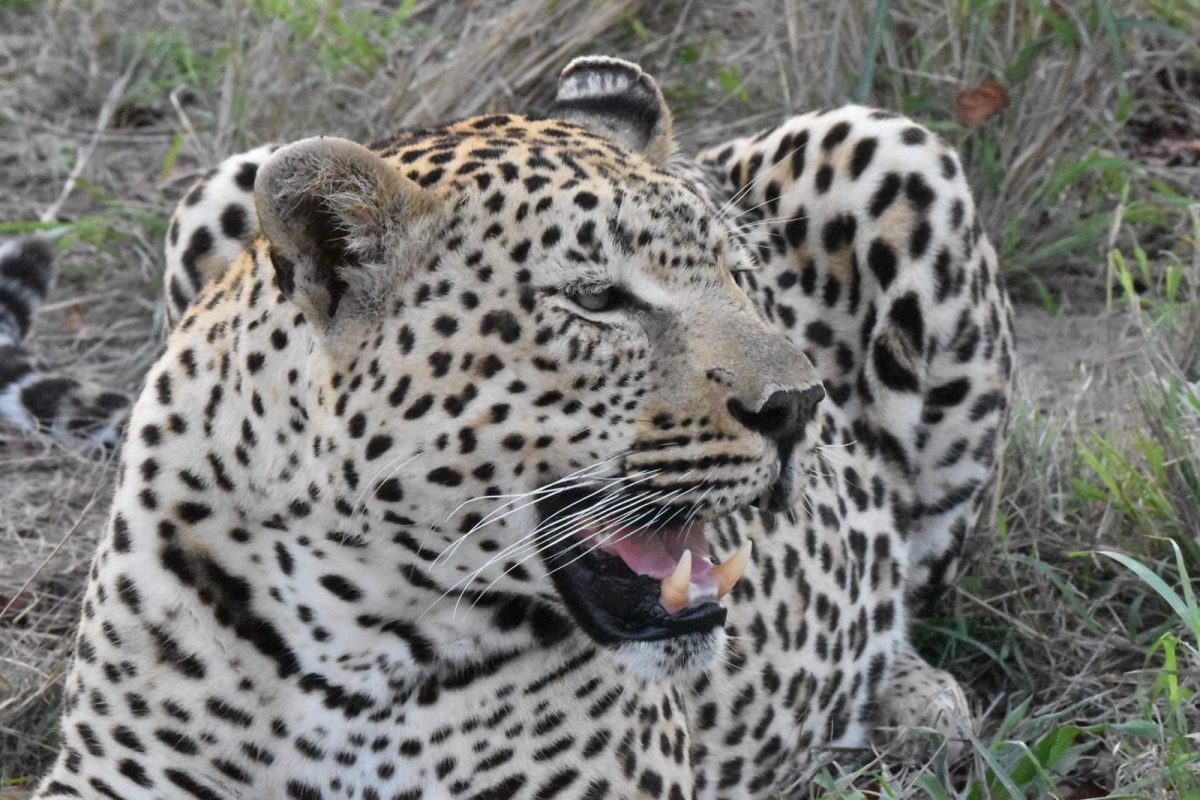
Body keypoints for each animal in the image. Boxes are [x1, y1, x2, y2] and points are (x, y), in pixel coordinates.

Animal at [30, 56, 1012, 800]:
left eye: (738, 276)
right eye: (597, 300)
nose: (801, 407)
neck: (354, 626)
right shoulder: (109, 779)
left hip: (892, 148)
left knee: (912, 584)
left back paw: (922, 706)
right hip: (218, 189)